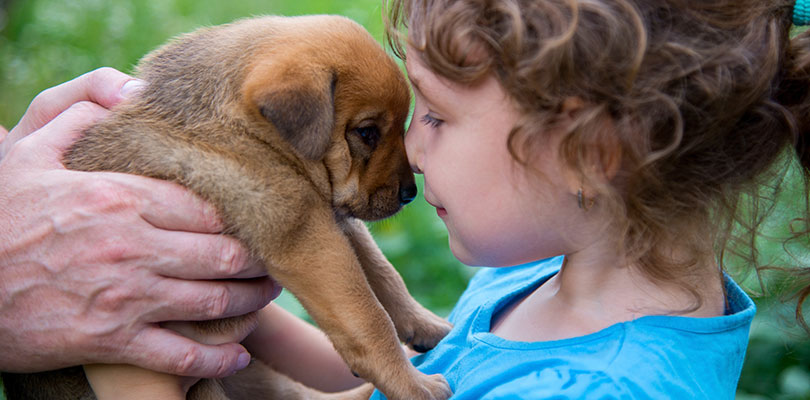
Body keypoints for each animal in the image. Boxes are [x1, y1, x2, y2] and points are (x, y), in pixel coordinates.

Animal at [0, 14, 452, 398]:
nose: (410, 194)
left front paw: (427, 326)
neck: (246, 130)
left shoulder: (331, 220)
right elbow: (369, 318)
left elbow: (385, 275)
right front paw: (414, 386)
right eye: (367, 133)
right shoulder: (307, 237)